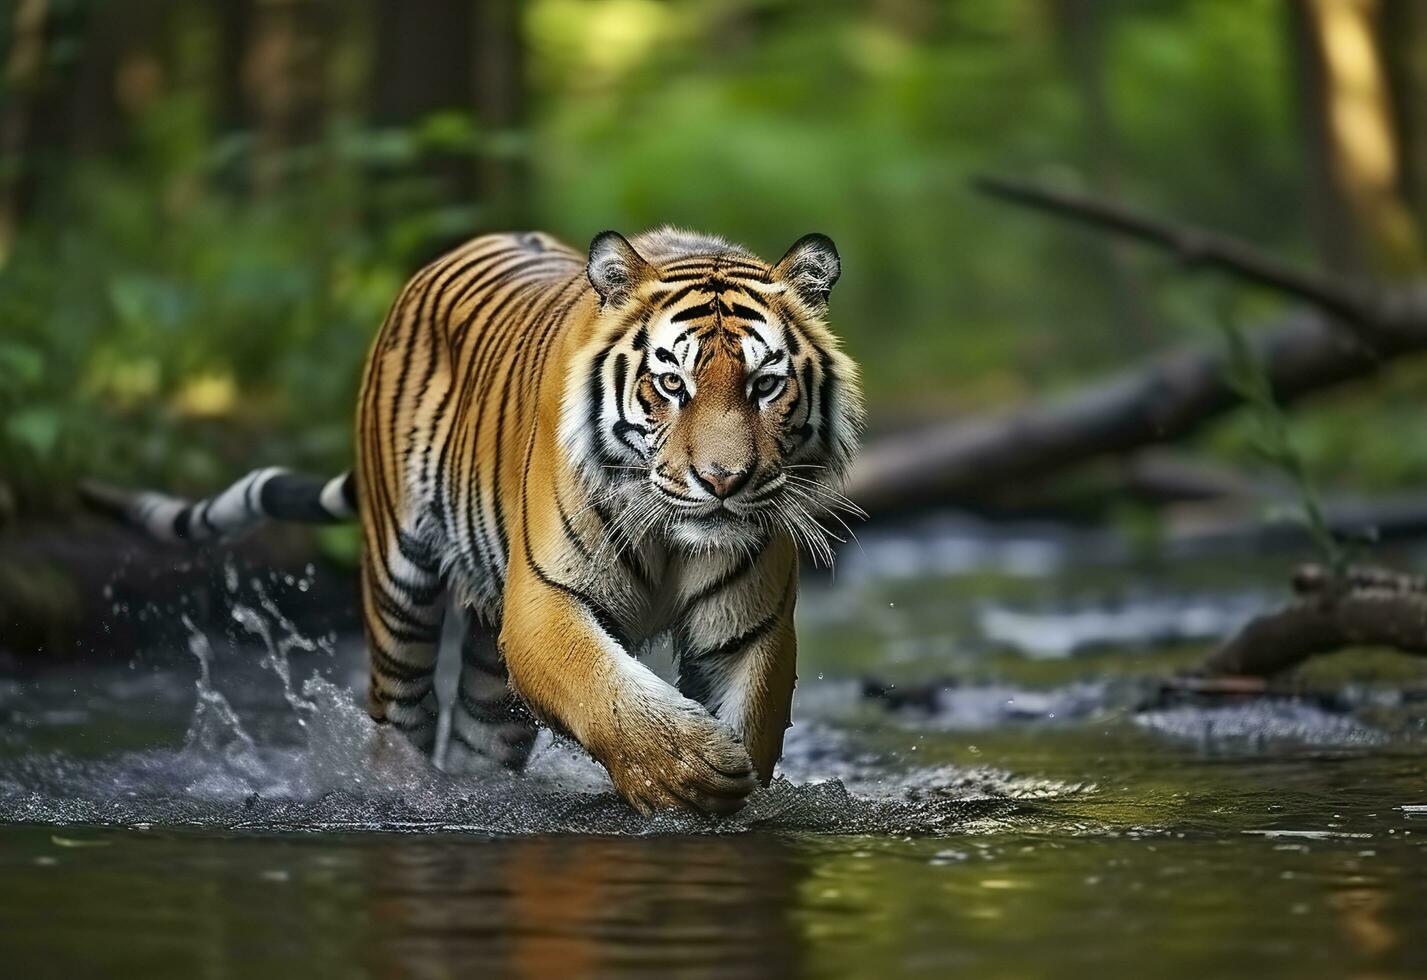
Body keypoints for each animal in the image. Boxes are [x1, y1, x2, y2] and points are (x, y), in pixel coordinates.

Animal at [92, 226, 867, 815]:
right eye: (670, 382)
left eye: (764, 384)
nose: (723, 482)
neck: (670, 537)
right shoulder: (545, 602)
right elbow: (607, 690)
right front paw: (685, 768)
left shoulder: (749, 629)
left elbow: (748, 713)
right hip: (399, 592)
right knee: (401, 718)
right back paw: (404, 793)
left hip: (491, 669)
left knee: (477, 737)